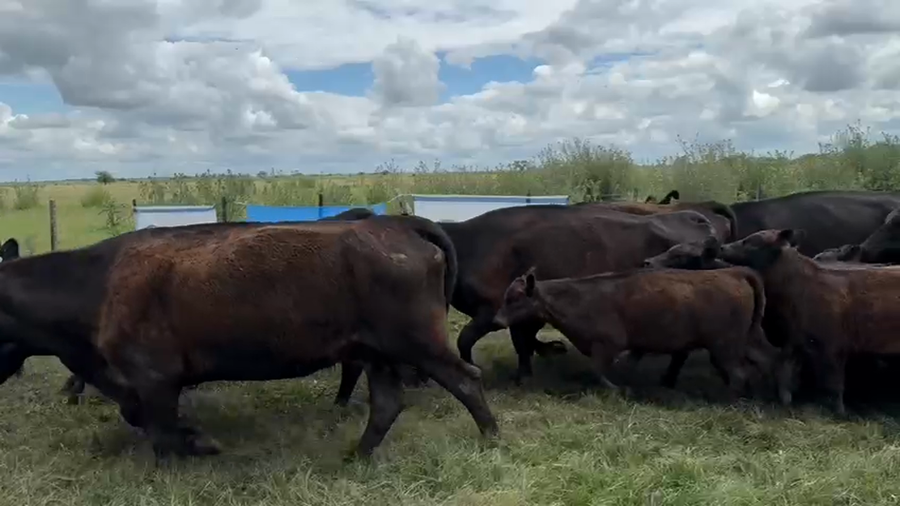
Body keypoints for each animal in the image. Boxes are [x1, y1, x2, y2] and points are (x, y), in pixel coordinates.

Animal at [0, 215, 499, 460]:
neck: (96, 283)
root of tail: (396, 226)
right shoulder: (140, 385)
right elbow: (145, 420)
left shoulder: (153, 378)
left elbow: (160, 430)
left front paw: (199, 445)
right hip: (377, 352)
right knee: (387, 404)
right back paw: (356, 456)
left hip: (417, 343)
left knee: (465, 380)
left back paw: (492, 441)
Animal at [439, 205, 719, 384]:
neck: (471, 246)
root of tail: (696, 217)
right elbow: (524, 341)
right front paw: (546, 354)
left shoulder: (493, 309)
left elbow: (467, 340)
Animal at [491, 266, 782, 400]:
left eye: (514, 298)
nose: (496, 319)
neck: (579, 298)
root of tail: (734, 272)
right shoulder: (634, 346)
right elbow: (625, 366)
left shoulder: (607, 344)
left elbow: (599, 371)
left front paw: (618, 389)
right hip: (748, 338)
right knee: (768, 360)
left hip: (724, 345)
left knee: (739, 373)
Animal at [717, 228, 900, 415]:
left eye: (753, 241)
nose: (722, 247)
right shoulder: (798, 340)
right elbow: (785, 370)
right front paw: (786, 401)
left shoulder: (833, 346)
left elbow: (834, 384)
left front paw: (840, 412)